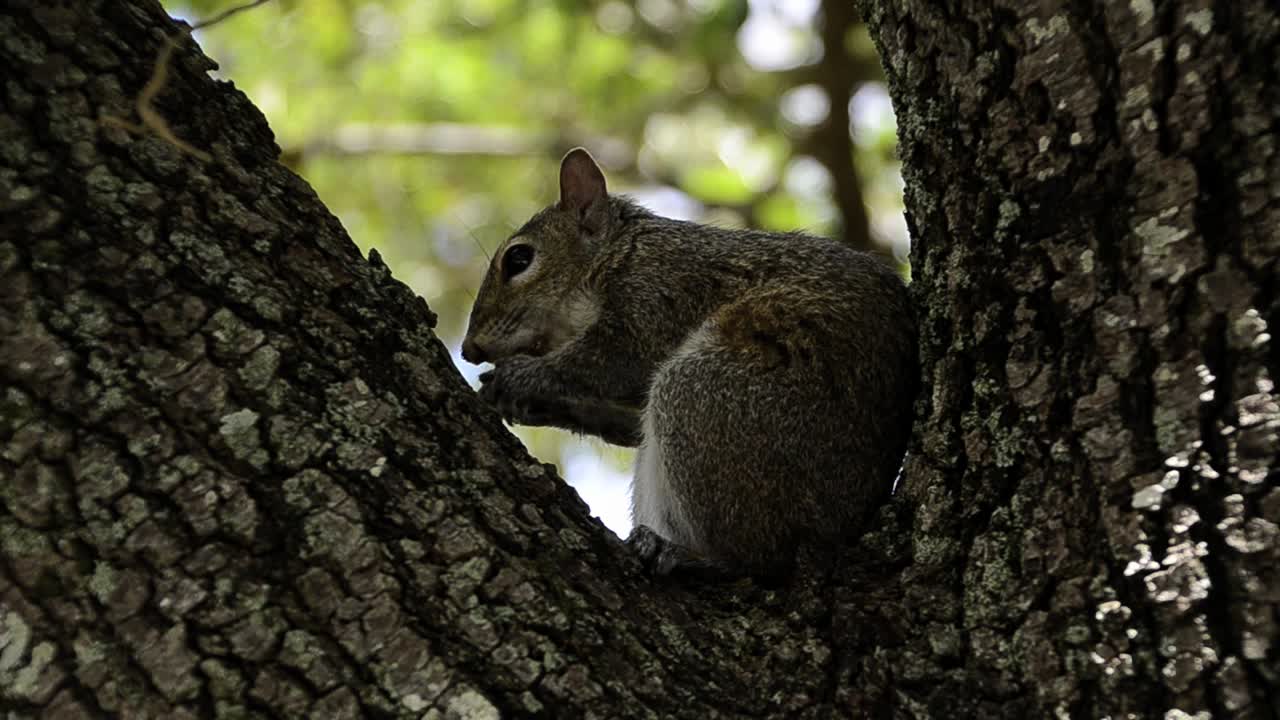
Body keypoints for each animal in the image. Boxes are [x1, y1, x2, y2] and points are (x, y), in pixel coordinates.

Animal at [461, 148, 918, 579]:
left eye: (519, 259)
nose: (468, 349)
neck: (621, 253)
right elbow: (628, 420)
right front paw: (534, 405)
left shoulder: (662, 291)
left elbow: (616, 361)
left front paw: (524, 377)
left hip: (710, 401)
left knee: (763, 560)